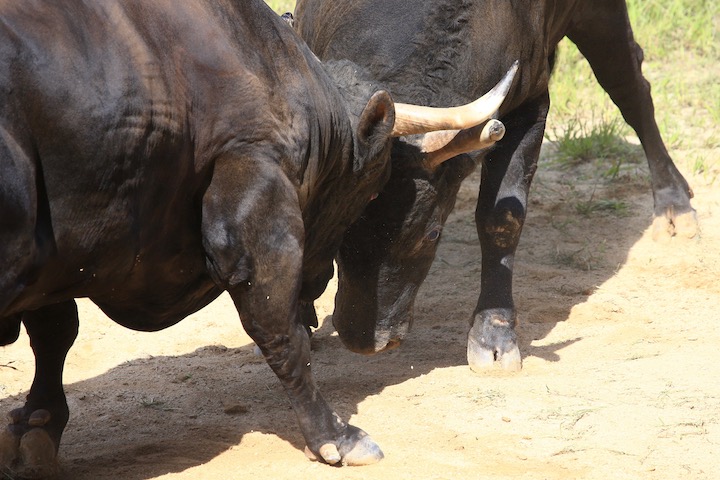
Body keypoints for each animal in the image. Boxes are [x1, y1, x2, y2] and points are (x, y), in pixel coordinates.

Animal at [294, 0, 696, 368]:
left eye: (432, 234)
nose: (365, 339)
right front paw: (301, 318)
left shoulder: (530, 104)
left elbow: (501, 217)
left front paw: (494, 335)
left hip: (600, 15)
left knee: (629, 87)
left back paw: (675, 205)